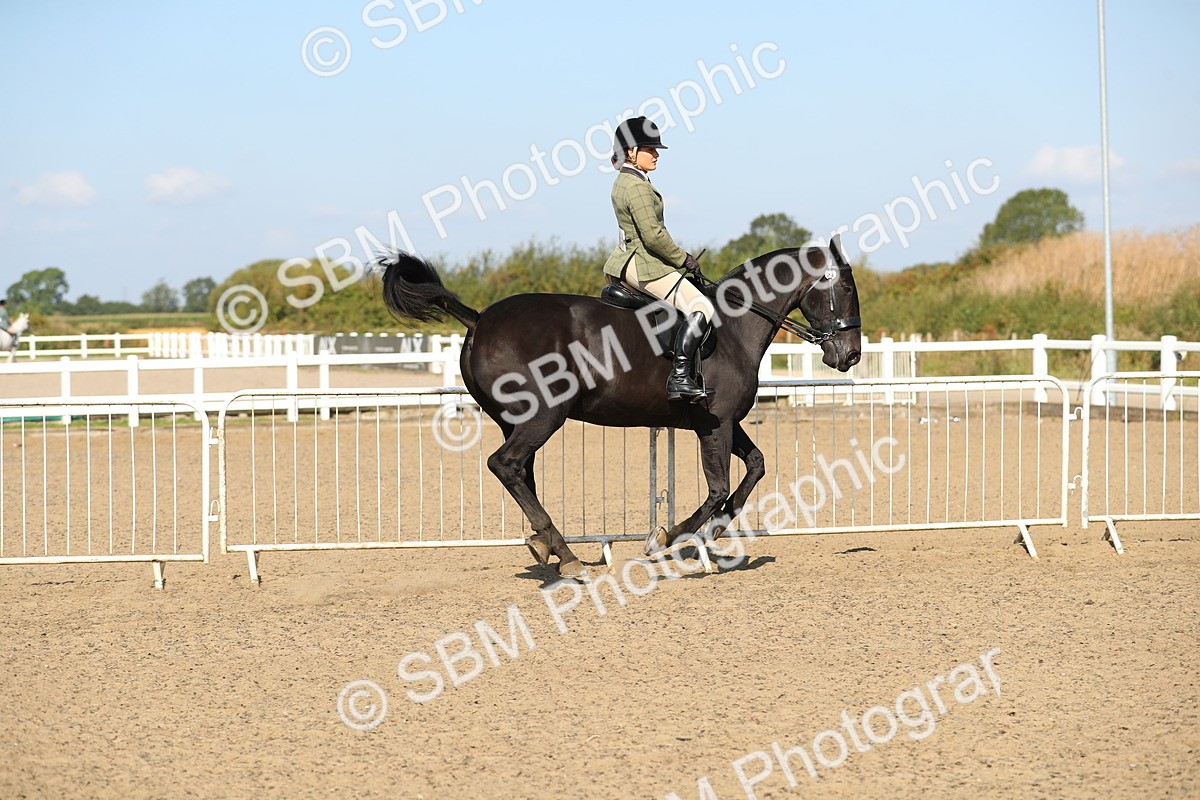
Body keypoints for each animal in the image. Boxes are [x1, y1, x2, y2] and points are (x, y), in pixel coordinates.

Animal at [379, 238, 862, 576]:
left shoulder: (720, 422)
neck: (734, 326)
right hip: (543, 415)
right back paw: (567, 555)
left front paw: (715, 530)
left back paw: (545, 544)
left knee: (520, 472)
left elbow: (755, 466)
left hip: (512, 419)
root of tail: (480, 319)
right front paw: (665, 537)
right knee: (506, 464)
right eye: (844, 286)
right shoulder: (717, 423)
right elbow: (718, 488)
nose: (851, 355)